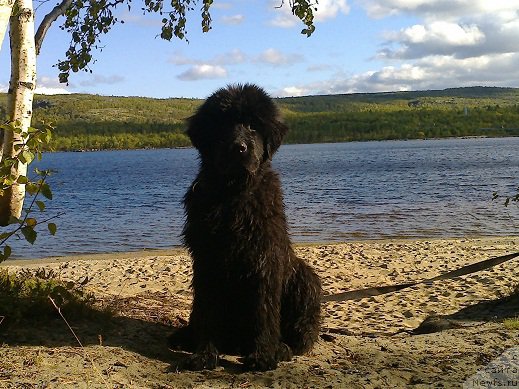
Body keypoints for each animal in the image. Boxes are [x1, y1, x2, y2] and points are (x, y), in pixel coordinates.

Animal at [171, 82, 322, 370]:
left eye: (253, 125)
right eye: (222, 124)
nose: (238, 148)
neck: (234, 194)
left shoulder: (265, 259)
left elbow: (264, 311)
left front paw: (263, 354)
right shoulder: (207, 260)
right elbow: (207, 309)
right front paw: (204, 354)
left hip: (303, 278)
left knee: (300, 332)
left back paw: (282, 347)